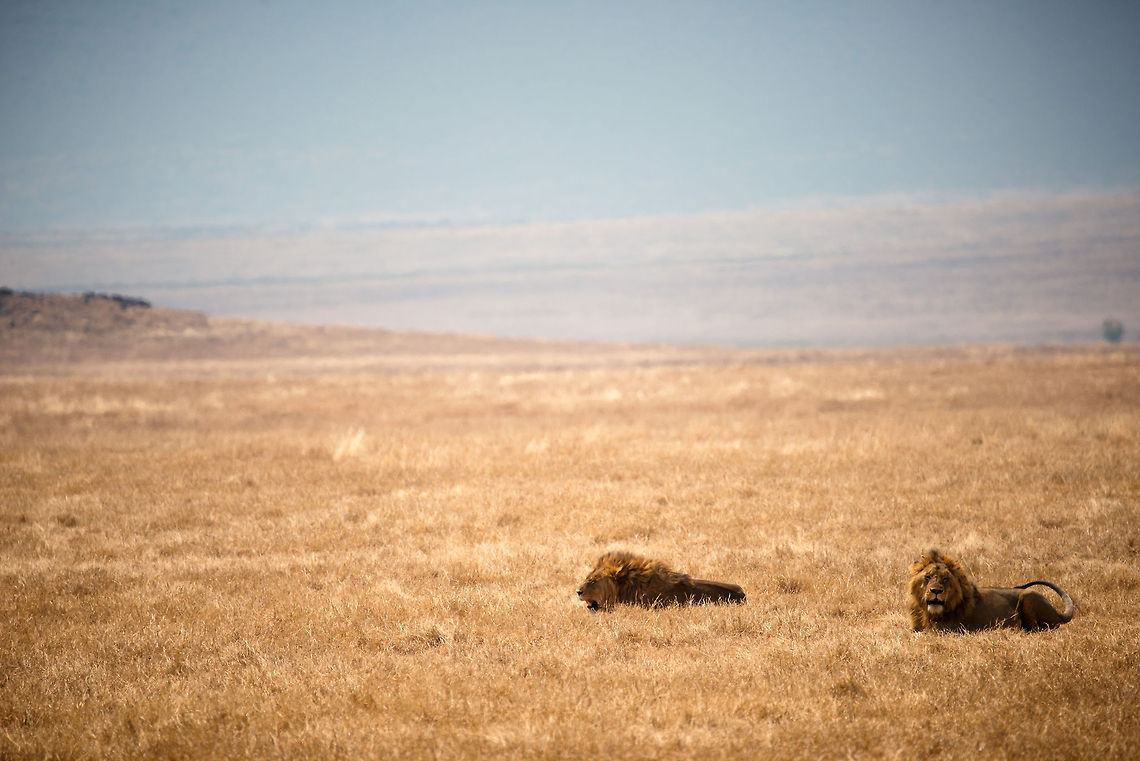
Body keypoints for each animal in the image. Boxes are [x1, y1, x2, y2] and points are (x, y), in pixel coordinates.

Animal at [908, 548, 1075, 632]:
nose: (936, 591)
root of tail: (1057, 613)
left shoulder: (946, 631)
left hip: (1029, 594)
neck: (928, 613)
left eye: (945, 579)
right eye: (928, 577)